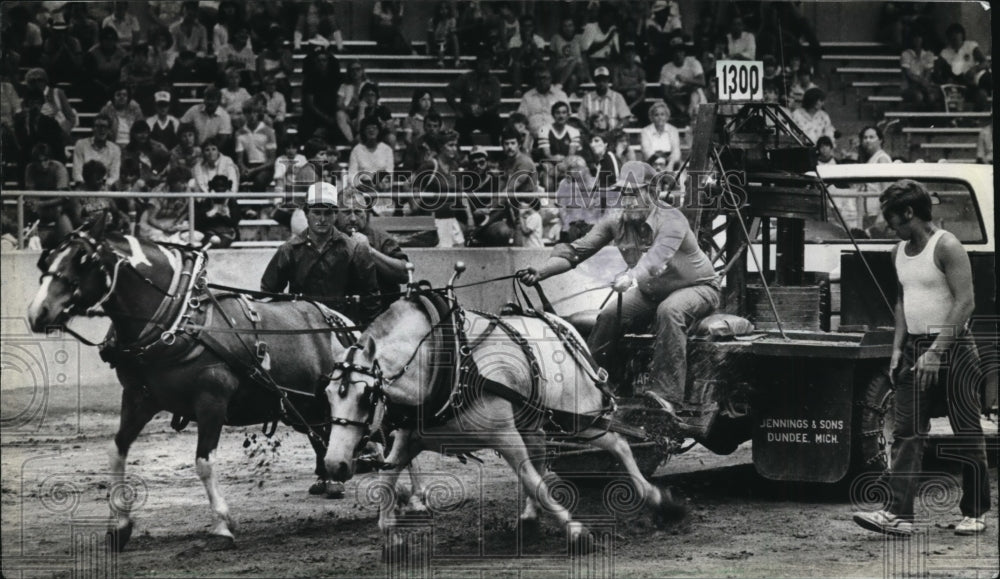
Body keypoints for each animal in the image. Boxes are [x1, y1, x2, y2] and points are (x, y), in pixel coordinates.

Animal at [28, 216, 360, 548]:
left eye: (83, 260)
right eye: (48, 257)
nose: (37, 312)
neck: (179, 322)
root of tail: (343, 323)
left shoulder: (212, 401)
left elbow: (204, 461)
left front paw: (223, 524)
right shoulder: (139, 398)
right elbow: (117, 450)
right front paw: (120, 526)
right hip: (303, 408)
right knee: (324, 440)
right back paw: (331, 478)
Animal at [324, 274, 684, 552]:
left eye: (366, 395)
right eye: (328, 393)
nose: (333, 465)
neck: (450, 361)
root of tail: (562, 324)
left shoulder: (504, 434)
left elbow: (532, 480)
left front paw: (577, 532)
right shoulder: (409, 437)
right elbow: (386, 479)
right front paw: (392, 535)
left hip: (579, 416)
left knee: (617, 444)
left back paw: (657, 499)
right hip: (538, 421)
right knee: (545, 457)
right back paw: (531, 517)